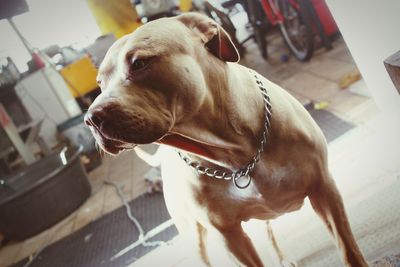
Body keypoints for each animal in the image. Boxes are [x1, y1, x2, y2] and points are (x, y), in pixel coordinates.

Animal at [85, 11, 368, 266]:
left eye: (139, 63)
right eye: (100, 83)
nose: (91, 118)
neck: (236, 151)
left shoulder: (325, 191)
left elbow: (349, 250)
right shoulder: (229, 236)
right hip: (195, 236)